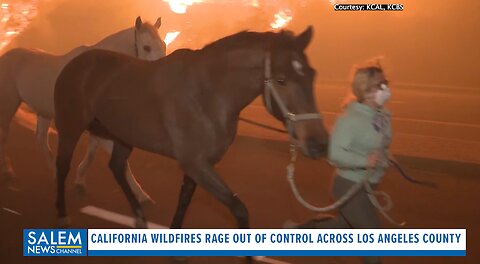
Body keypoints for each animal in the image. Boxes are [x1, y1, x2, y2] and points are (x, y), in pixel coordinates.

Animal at [0, 16, 166, 204]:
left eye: (163, 44)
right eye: (146, 47)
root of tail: (6, 55)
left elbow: (92, 153)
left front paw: (79, 183)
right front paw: (142, 197)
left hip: (44, 111)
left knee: (41, 139)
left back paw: (54, 175)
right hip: (8, 105)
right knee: (5, 136)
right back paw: (8, 172)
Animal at [53, 26, 330, 231]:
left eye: (312, 75)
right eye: (281, 80)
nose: (318, 144)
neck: (207, 95)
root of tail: (75, 62)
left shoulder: (200, 164)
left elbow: (185, 199)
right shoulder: (195, 163)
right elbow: (240, 210)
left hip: (123, 134)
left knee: (117, 167)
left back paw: (140, 217)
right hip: (70, 127)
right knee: (63, 166)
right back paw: (62, 215)